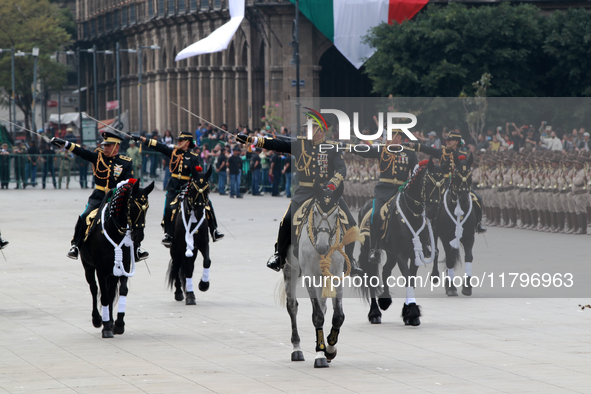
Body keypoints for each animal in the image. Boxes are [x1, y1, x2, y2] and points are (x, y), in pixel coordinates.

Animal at [80, 180, 154, 338]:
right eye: (133, 206)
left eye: (147, 207)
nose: (138, 236)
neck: (114, 231)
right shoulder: (101, 269)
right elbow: (103, 295)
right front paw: (106, 328)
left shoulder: (124, 266)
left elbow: (122, 291)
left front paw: (118, 324)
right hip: (88, 266)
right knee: (94, 289)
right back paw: (98, 319)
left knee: (111, 291)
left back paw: (110, 321)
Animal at [166, 165, 213, 306]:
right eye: (192, 188)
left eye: (208, 189)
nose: (199, 212)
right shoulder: (183, 246)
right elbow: (187, 268)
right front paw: (190, 295)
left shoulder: (203, 243)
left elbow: (207, 261)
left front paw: (204, 285)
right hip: (175, 248)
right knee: (177, 266)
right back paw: (179, 292)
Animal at [358, 159, 446, 324]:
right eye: (428, 183)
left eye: (443, 185)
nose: (432, 212)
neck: (412, 213)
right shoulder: (401, 255)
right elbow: (408, 278)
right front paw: (412, 312)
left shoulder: (413, 254)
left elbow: (411, 279)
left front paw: (408, 312)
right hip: (369, 251)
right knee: (372, 278)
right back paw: (375, 313)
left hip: (391, 253)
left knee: (386, 270)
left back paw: (385, 301)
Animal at [432, 154, 478, 296]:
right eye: (457, 175)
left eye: (470, 175)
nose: (463, 198)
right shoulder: (446, 237)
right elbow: (450, 259)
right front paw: (451, 287)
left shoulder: (469, 237)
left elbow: (468, 257)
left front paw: (467, 286)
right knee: (437, 252)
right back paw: (436, 276)